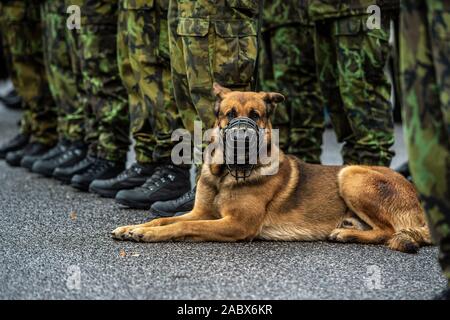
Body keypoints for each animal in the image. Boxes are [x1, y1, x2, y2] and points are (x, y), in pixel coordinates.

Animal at [110, 84, 430, 254]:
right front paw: (134, 228)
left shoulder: (237, 225)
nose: (242, 135)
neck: (226, 174)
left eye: (256, 115)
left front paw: (148, 235)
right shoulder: (201, 212)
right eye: (230, 115)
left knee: (387, 231)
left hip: (350, 174)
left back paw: (346, 235)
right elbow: (163, 219)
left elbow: (183, 226)